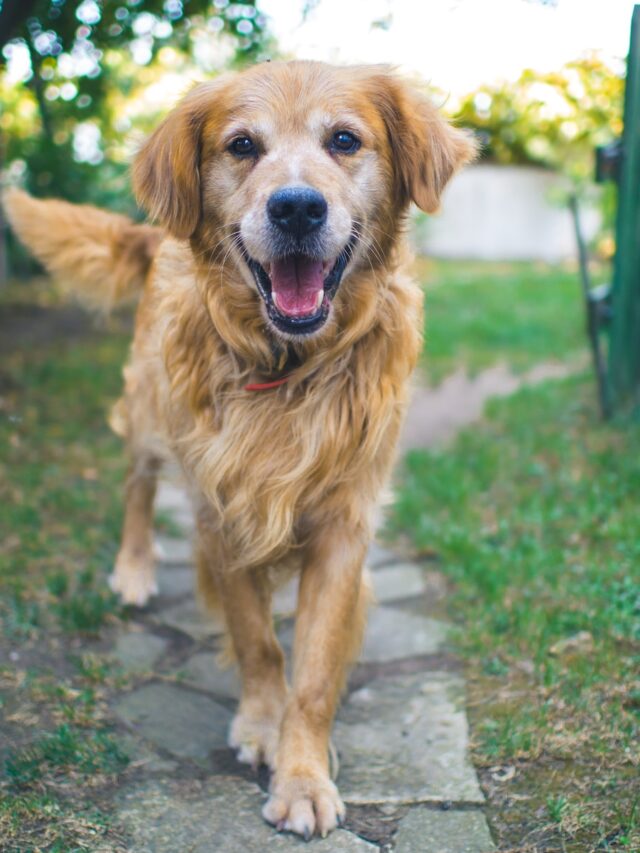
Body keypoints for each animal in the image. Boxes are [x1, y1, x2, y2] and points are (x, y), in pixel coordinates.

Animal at [3, 60, 476, 840]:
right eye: (242, 146)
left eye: (345, 140)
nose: (296, 209)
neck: (289, 366)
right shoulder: (220, 511)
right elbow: (259, 640)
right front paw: (262, 724)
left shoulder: (344, 526)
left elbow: (312, 669)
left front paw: (303, 772)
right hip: (149, 414)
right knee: (136, 485)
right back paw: (134, 568)